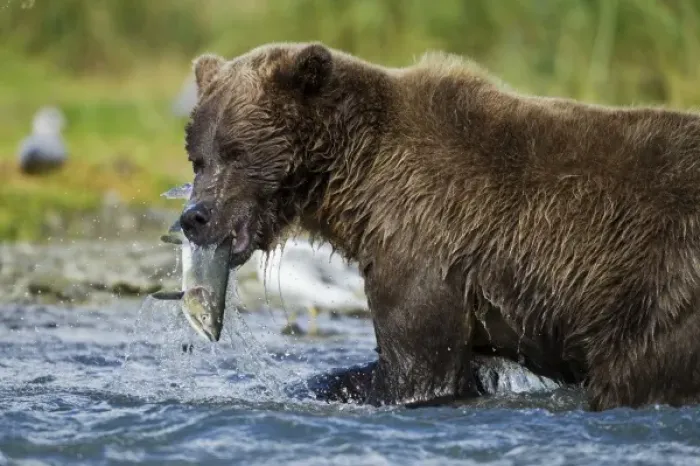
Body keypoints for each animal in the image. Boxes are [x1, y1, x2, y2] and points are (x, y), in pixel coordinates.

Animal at [178, 41, 700, 411]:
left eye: (237, 152)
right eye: (199, 157)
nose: (194, 217)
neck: (358, 178)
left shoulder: (426, 238)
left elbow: (417, 366)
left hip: (656, 289)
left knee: (633, 372)